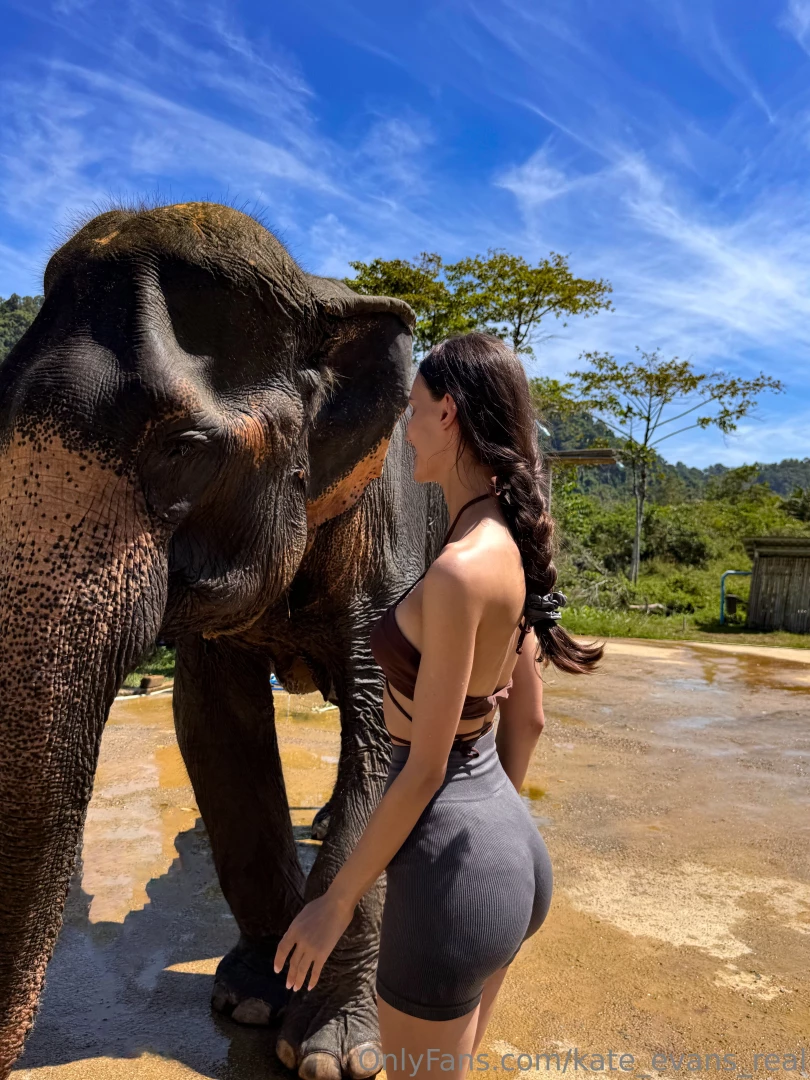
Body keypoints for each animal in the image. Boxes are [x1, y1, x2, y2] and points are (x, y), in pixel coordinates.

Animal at [0, 202, 448, 1080]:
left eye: (182, 449)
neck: (318, 292)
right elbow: (218, 729)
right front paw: (251, 1001)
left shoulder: (391, 535)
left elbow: (393, 746)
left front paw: (330, 1055)